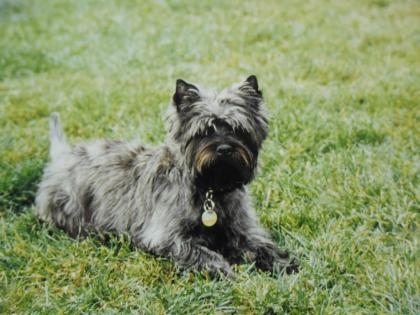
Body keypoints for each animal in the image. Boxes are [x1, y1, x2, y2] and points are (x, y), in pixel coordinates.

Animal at [36, 76, 298, 276]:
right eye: (204, 131)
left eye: (238, 129)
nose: (224, 148)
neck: (210, 189)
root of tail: (62, 157)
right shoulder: (166, 236)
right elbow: (198, 251)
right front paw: (221, 269)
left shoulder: (242, 229)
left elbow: (261, 245)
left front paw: (281, 262)